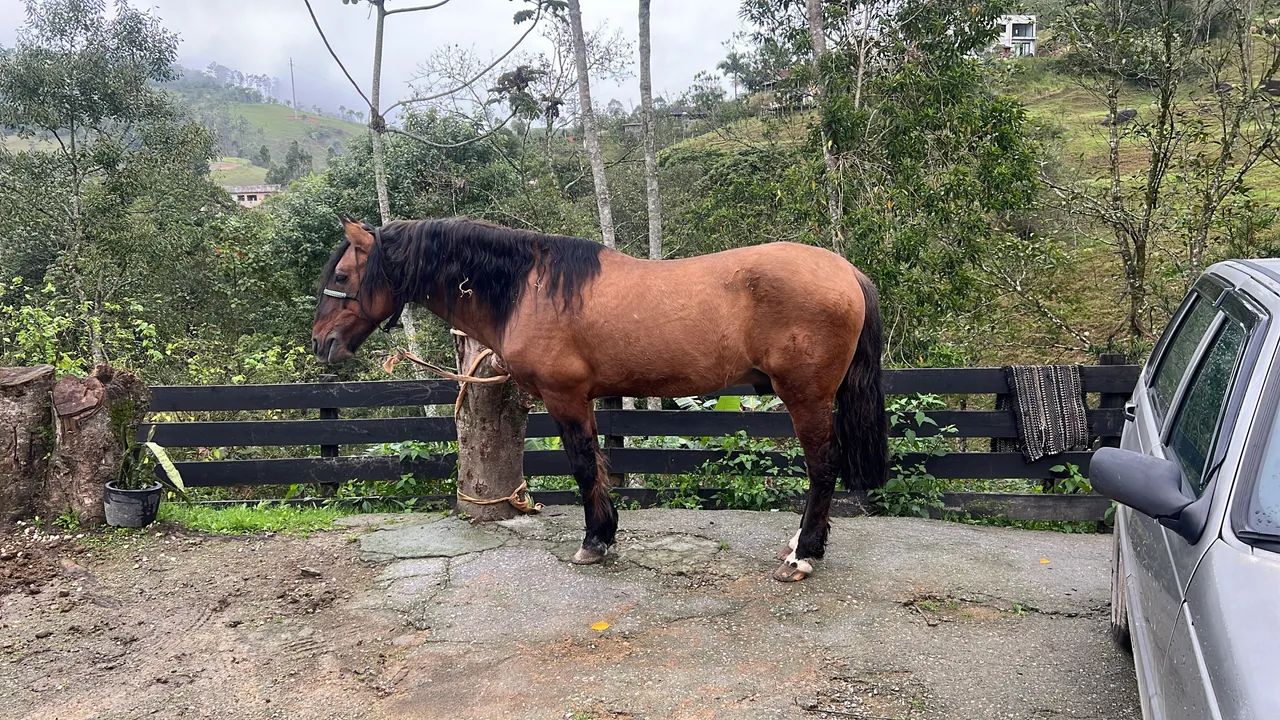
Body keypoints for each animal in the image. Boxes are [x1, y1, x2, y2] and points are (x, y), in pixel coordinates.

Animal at [311, 216, 887, 582]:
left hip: (806, 396)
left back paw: (804, 555)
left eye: (341, 275)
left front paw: (594, 541)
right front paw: (605, 532)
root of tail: (847, 272)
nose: (321, 343)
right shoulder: (585, 398)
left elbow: (584, 464)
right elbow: (599, 464)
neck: (528, 287)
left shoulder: (565, 396)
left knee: (823, 465)